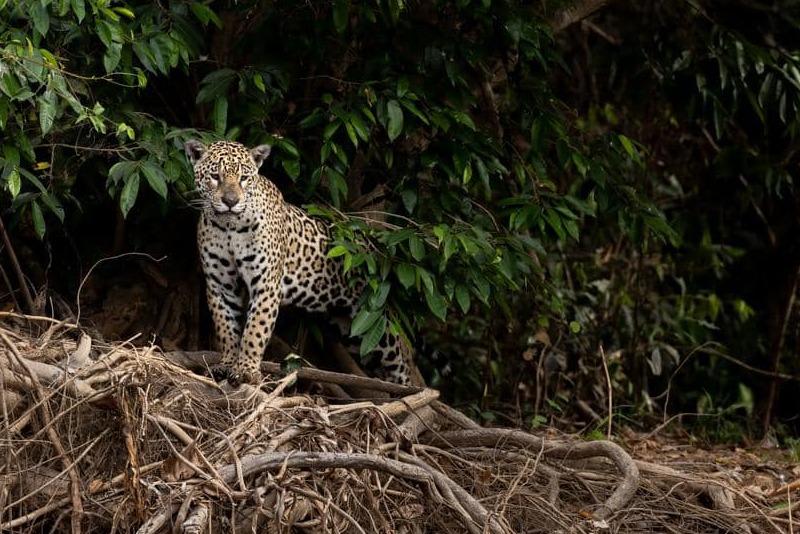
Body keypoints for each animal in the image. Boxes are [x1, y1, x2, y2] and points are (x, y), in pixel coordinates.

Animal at [184, 139, 415, 386]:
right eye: (215, 176)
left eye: (244, 178)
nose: (230, 201)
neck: (229, 228)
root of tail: (371, 245)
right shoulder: (220, 285)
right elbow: (226, 328)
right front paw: (227, 364)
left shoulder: (266, 284)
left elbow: (255, 330)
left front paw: (246, 370)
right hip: (351, 327)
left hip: (375, 317)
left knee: (401, 356)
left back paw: (409, 390)